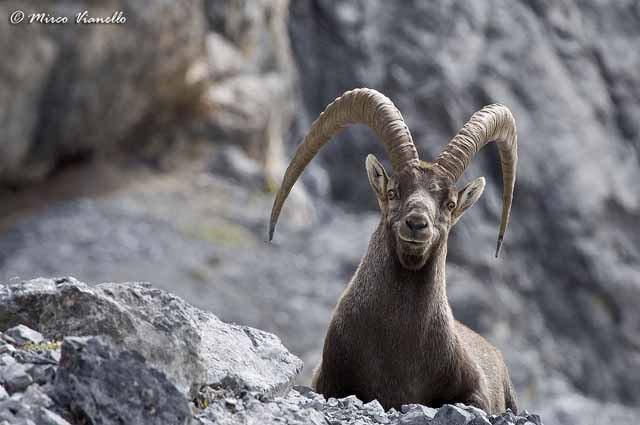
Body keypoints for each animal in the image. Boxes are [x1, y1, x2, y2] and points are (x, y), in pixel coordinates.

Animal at [268, 88, 518, 414]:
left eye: (450, 203)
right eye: (393, 191)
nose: (416, 224)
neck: (399, 345)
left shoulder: (475, 392)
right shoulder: (330, 382)